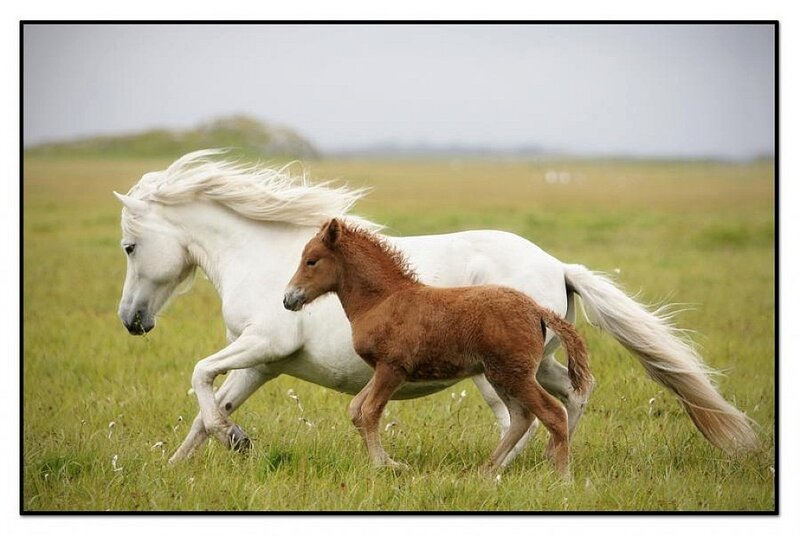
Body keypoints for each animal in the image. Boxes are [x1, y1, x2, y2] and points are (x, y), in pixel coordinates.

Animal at [283, 218, 593, 477]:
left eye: (311, 261)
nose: (289, 299)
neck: (381, 300)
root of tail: (536, 310)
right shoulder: (382, 370)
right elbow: (356, 409)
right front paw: (389, 462)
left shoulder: (392, 368)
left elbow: (370, 411)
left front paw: (382, 465)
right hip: (501, 375)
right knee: (522, 417)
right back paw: (486, 470)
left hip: (513, 375)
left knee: (552, 413)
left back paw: (562, 478)